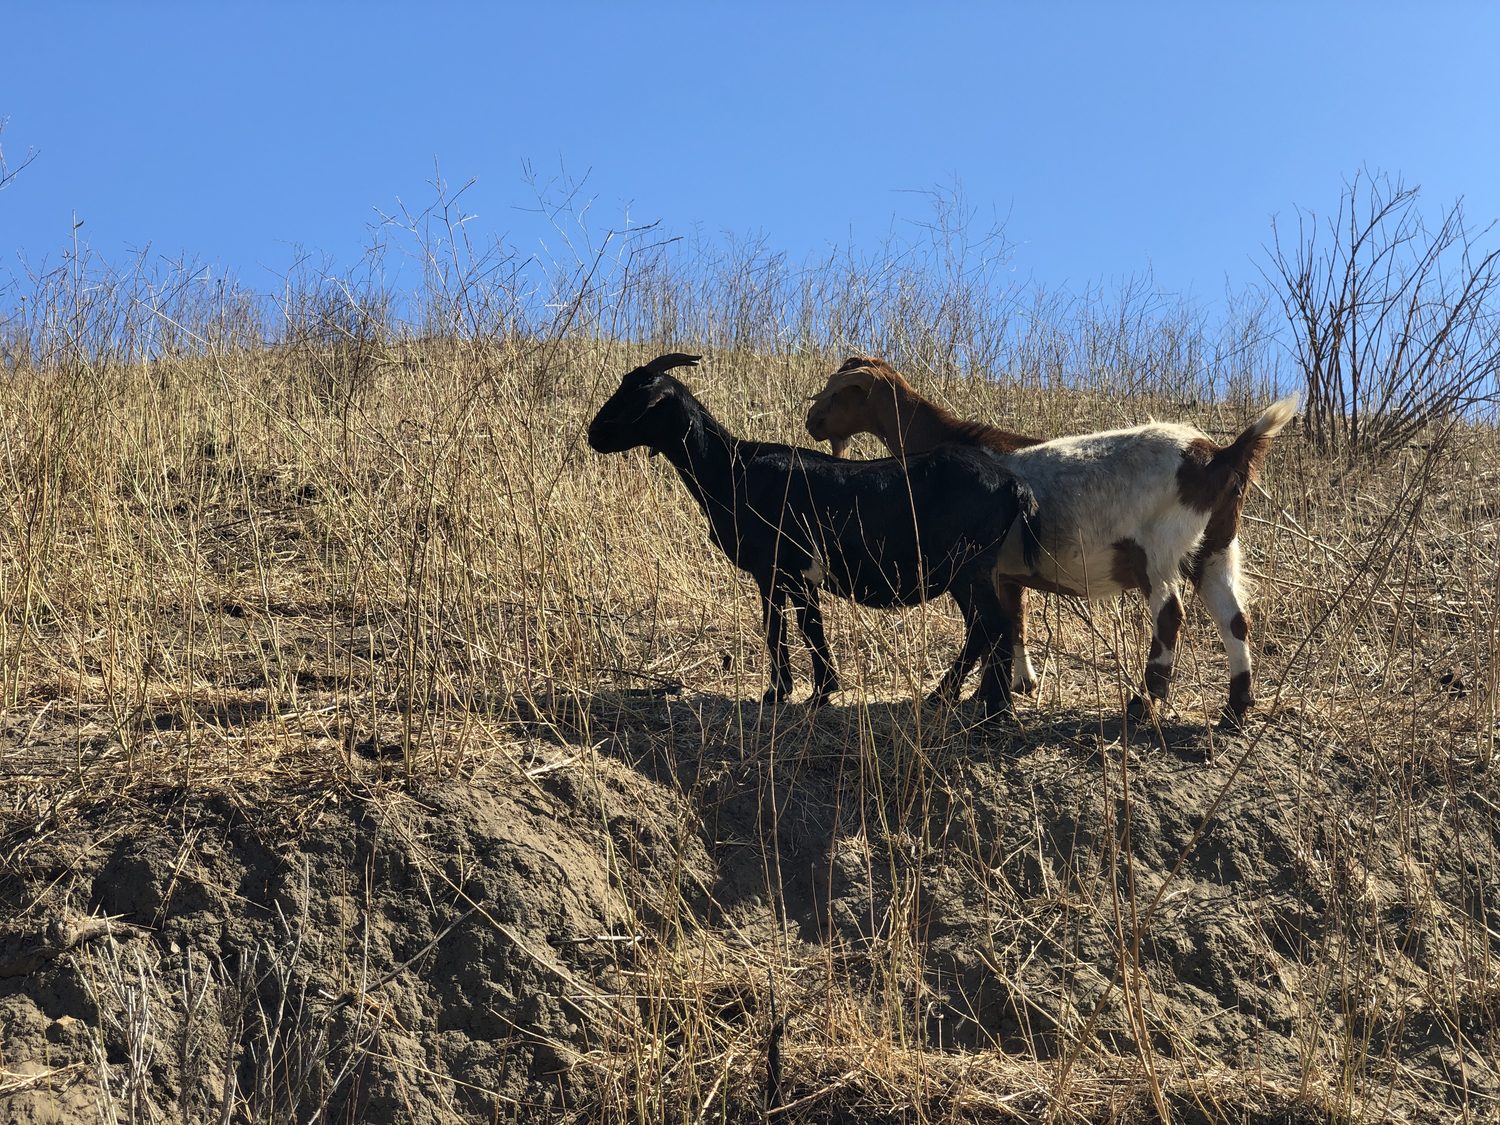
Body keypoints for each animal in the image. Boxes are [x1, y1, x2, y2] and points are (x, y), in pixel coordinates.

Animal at [588, 353, 1040, 712]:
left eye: (636, 399)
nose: (595, 434)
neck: (731, 468)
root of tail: (1015, 486)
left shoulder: (775, 567)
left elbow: (783, 628)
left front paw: (791, 693)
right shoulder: (793, 574)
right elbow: (803, 625)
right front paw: (815, 691)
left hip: (968, 566)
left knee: (992, 626)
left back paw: (985, 704)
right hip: (969, 570)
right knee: (985, 628)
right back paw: (958, 698)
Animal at [806, 356, 1297, 724]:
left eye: (838, 393)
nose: (812, 422)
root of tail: (1219, 456)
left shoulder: (988, 568)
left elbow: (996, 624)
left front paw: (986, 692)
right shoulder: (1009, 572)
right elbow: (1016, 621)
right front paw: (1018, 684)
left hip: (1160, 547)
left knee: (1170, 617)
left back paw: (1143, 705)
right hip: (1216, 547)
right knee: (1234, 619)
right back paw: (1235, 709)